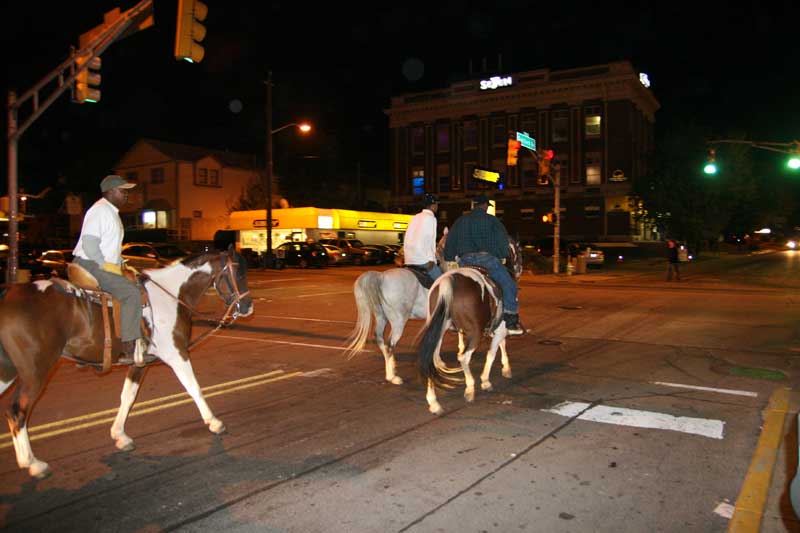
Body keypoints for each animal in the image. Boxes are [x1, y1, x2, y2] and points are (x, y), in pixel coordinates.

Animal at [0, 249, 252, 478]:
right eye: (238, 273)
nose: (247, 306)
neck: (171, 295)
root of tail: (7, 294)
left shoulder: (139, 363)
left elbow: (127, 397)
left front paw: (119, 435)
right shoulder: (176, 354)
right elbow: (194, 388)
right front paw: (214, 422)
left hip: (7, 371)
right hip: (35, 371)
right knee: (17, 411)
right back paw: (33, 463)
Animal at [416, 237, 520, 416]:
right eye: (518, 252)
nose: (519, 270)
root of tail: (448, 281)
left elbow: (500, 346)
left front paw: (505, 369)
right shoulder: (500, 328)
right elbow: (493, 352)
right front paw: (487, 380)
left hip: (438, 331)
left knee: (430, 359)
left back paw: (433, 402)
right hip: (474, 333)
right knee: (464, 357)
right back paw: (470, 387)